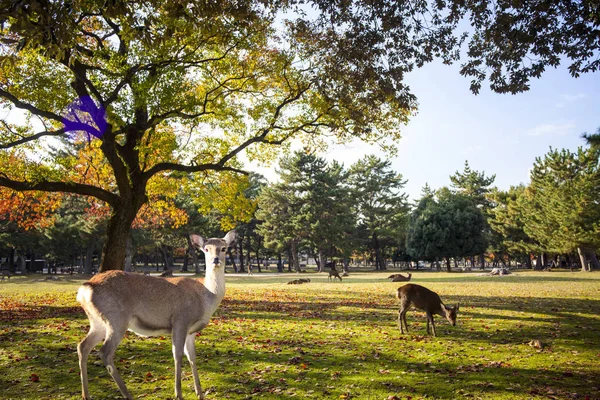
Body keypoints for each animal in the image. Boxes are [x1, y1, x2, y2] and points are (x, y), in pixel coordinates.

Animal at [78, 230, 238, 398]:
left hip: (97, 322)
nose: (215, 260)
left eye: (224, 248)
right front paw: (178, 394)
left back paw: (86, 394)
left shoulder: (191, 331)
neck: (205, 298)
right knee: (105, 352)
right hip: (116, 318)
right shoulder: (180, 320)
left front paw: (199, 393)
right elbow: (177, 354)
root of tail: (85, 289)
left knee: (83, 346)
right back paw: (127, 394)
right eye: (206, 249)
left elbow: (192, 356)